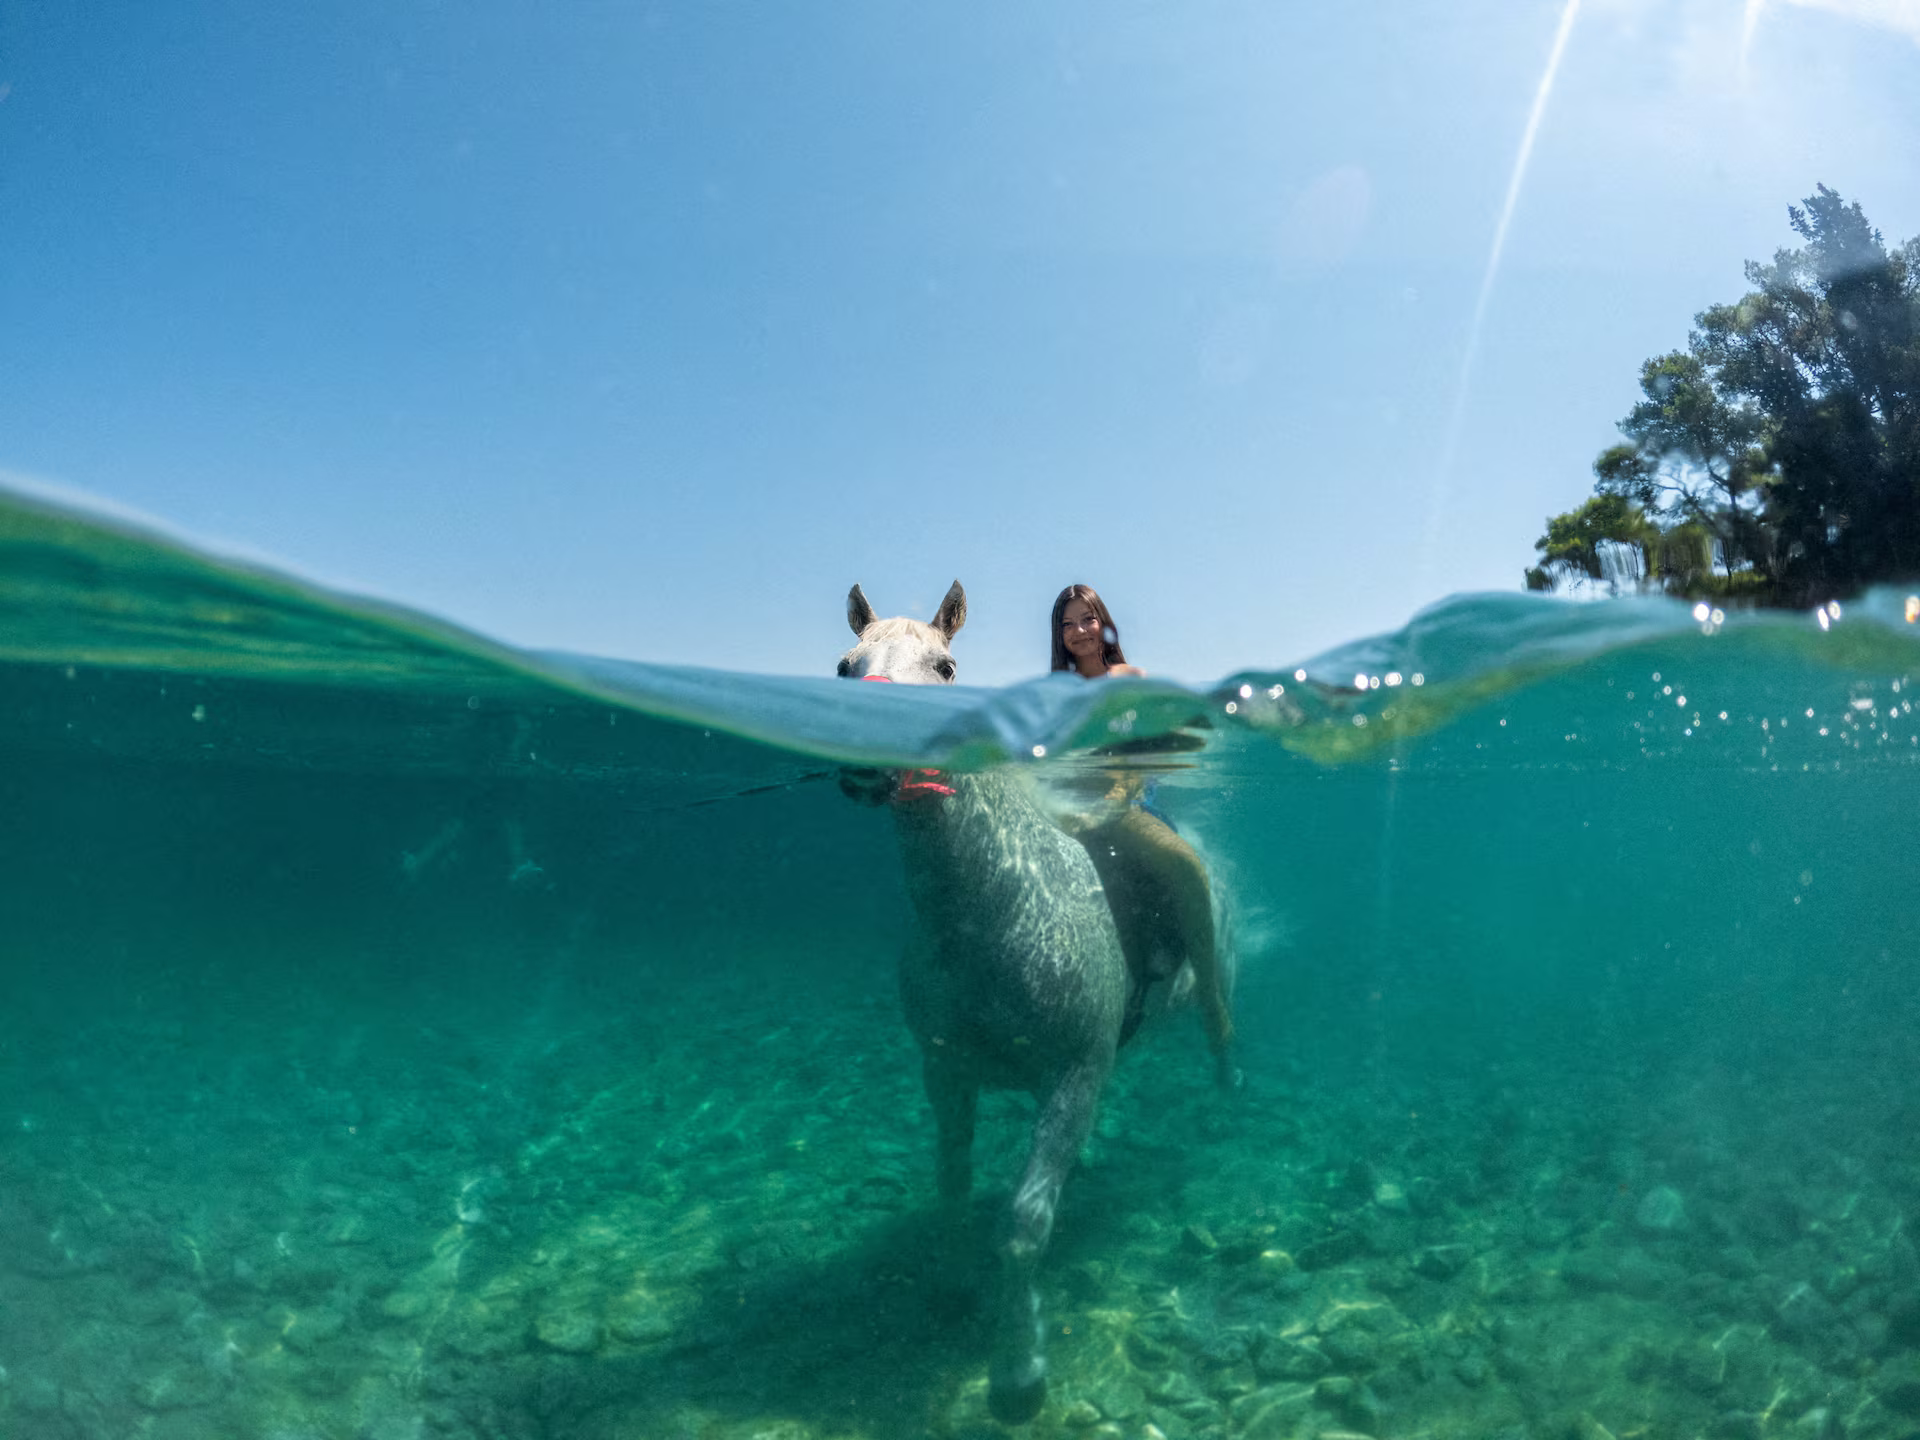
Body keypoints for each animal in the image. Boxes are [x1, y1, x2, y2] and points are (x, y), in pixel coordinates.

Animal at [835, 580, 1133, 1425]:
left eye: (945, 667)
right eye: (843, 668)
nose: (869, 759)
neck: (991, 917)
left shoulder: (1075, 1072)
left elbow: (1024, 1224)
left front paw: (1017, 1369)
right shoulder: (947, 1073)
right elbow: (955, 1190)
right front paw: (954, 1289)